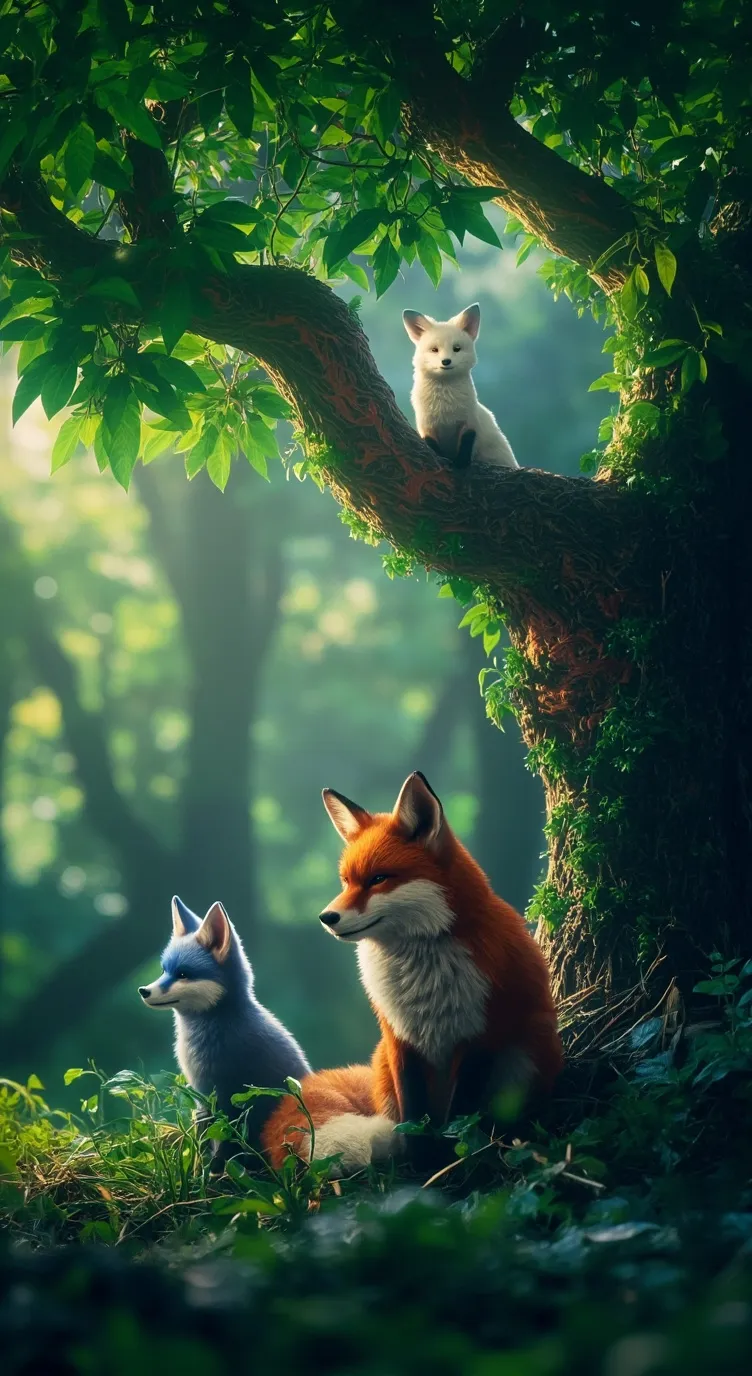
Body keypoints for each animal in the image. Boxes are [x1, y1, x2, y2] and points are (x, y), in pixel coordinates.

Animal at [139, 896, 311, 1169]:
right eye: (164, 970)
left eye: (183, 974)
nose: (143, 991)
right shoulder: (202, 1099)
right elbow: (204, 1138)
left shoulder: (228, 1095)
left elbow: (225, 1142)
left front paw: (215, 1170)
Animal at [262, 772, 562, 1174]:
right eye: (346, 881)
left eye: (378, 879)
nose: (327, 918)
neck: (421, 973)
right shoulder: (400, 1038)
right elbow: (413, 1118)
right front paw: (420, 1166)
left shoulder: (481, 1037)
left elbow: (459, 1117)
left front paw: (449, 1165)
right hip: (384, 1064)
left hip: (528, 1052)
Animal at [403, 303, 518, 470]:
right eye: (434, 349)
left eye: (456, 348)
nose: (446, 361)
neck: (445, 408)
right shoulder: (426, 427)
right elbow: (434, 447)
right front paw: (444, 460)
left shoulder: (469, 421)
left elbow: (466, 443)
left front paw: (461, 464)